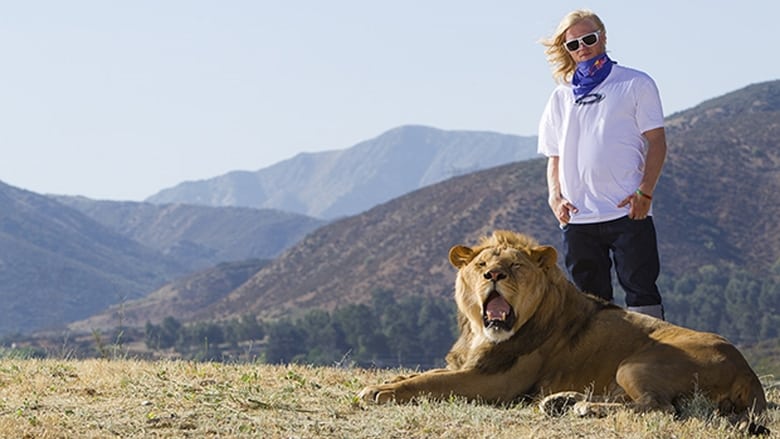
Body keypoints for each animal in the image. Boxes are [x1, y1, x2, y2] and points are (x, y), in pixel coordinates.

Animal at [358, 230, 769, 434]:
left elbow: (431, 382)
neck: (479, 332)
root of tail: (749, 373)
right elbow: (426, 373)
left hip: (636, 363)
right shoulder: (471, 365)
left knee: (659, 406)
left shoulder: (494, 382)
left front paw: (379, 392)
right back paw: (562, 401)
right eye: (480, 264)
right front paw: (388, 381)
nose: (494, 275)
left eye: (515, 266)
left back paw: (582, 407)